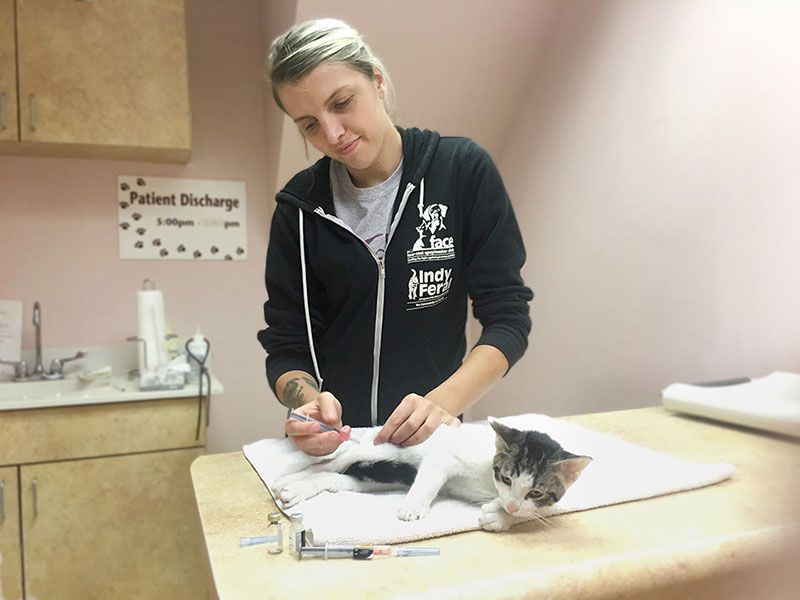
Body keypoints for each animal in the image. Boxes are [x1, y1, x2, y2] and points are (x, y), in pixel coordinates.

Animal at [272, 420, 592, 532]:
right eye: (506, 478)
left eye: (535, 492)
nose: (511, 505)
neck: (488, 479)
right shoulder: (443, 453)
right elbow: (429, 478)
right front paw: (413, 507)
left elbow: (534, 511)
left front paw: (502, 516)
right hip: (384, 448)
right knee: (333, 463)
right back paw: (288, 480)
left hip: (386, 475)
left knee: (341, 479)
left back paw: (300, 488)